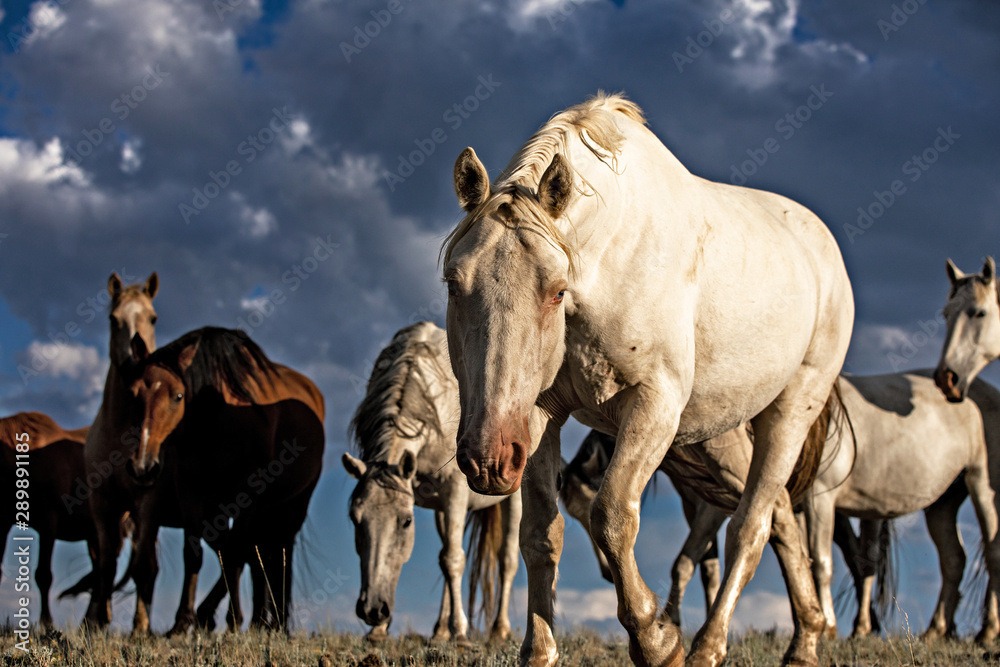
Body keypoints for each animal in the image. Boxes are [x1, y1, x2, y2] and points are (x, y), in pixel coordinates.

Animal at [122, 326, 325, 634]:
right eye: (133, 394)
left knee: (275, 555)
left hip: (291, 506)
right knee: (255, 555)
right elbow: (195, 553)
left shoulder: (248, 491)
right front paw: (182, 621)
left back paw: (275, 622)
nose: (143, 465)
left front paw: (231, 619)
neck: (216, 419)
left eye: (178, 396)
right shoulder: (190, 490)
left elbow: (234, 553)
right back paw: (255, 620)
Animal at [342, 321, 521, 643]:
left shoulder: (456, 493)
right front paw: (378, 632)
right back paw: (440, 630)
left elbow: (454, 559)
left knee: (506, 560)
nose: (373, 610)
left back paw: (499, 630)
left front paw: (461, 632)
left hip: (513, 498)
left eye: (406, 522)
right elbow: (444, 559)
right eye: (355, 519)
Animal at [441, 92, 854, 666]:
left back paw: (708, 647)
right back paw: (806, 638)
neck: (606, 261)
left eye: (556, 289)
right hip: (721, 437)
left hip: (791, 411)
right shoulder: (541, 414)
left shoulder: (653, 404)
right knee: (780, 522)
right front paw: (539, 652)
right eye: (453, 282)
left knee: (750, 528)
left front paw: (656, 640)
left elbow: (613, 516)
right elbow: (541, 534)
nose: (489, 459)